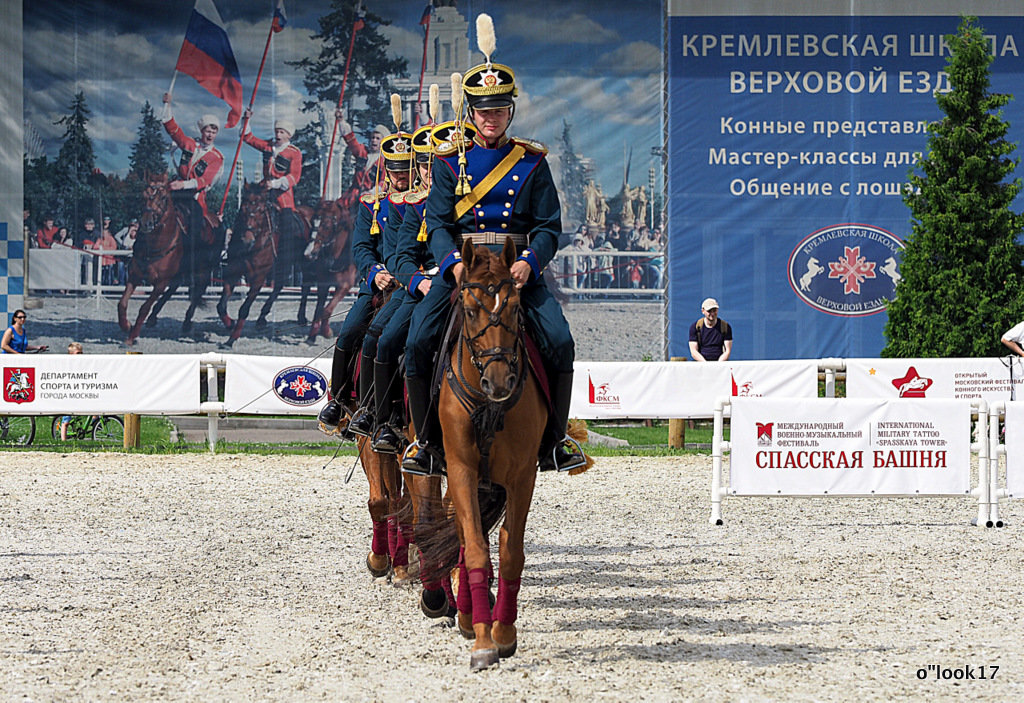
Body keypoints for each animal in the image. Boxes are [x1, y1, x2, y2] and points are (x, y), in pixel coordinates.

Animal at [117, 172, 184, 343]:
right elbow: (122, 303)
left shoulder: (160, 283)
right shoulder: (134, 276)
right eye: (143, 195)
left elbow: (144, 307)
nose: (146, 223)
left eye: (163, 197)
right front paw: (126, 326)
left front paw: (132, 336)